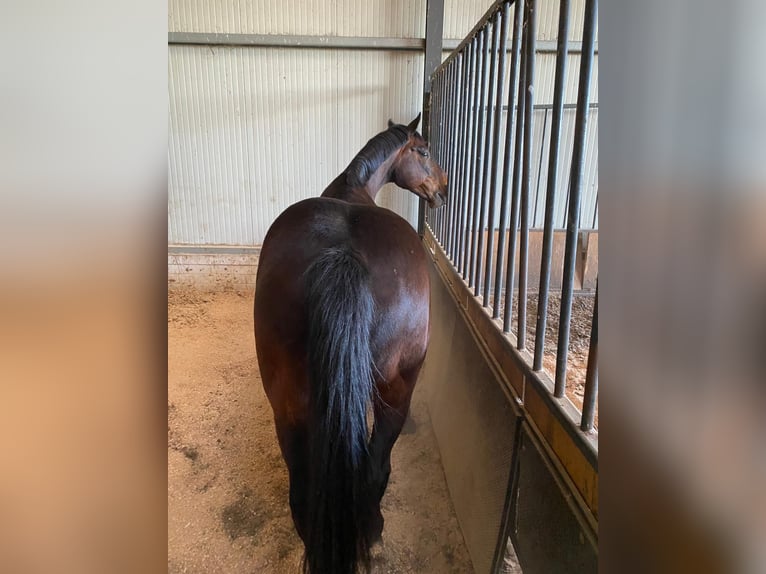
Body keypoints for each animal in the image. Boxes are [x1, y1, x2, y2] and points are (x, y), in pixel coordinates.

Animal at [253, 114, 447, 573]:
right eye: (424, 151)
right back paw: (372, 529)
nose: (443, 189)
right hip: (396, 391)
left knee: (302, 485)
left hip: (287, 405)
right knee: (375, 467)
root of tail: (344, 257)